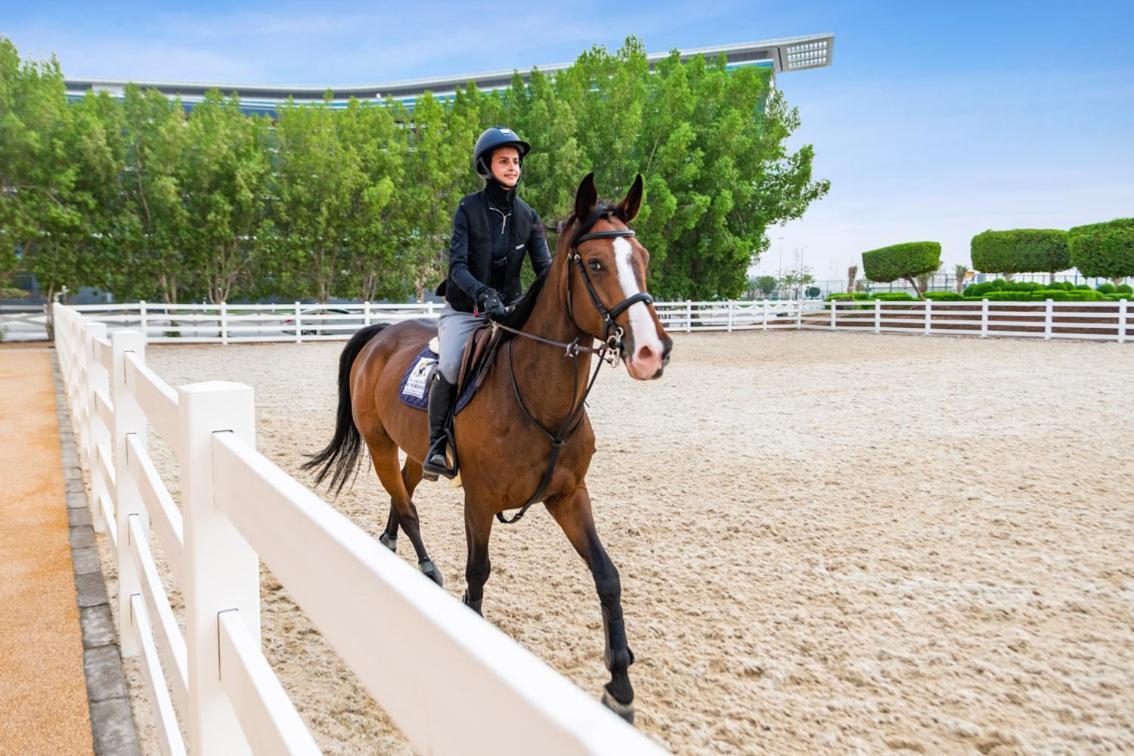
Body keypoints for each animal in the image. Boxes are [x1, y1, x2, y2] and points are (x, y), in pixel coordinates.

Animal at [303, 171, 671, 720]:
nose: (651, 351)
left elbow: (607, 576)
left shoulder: (569, 496)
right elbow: (477, 573)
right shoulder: (479, 499)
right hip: (380, 443)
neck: (538, 400)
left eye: (642, 258)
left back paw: (390, 544)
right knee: (406, 505)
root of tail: (382, 333)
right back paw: (426, 567)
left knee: (403, 492)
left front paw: (620, 685)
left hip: (417, 452)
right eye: (596, 263)